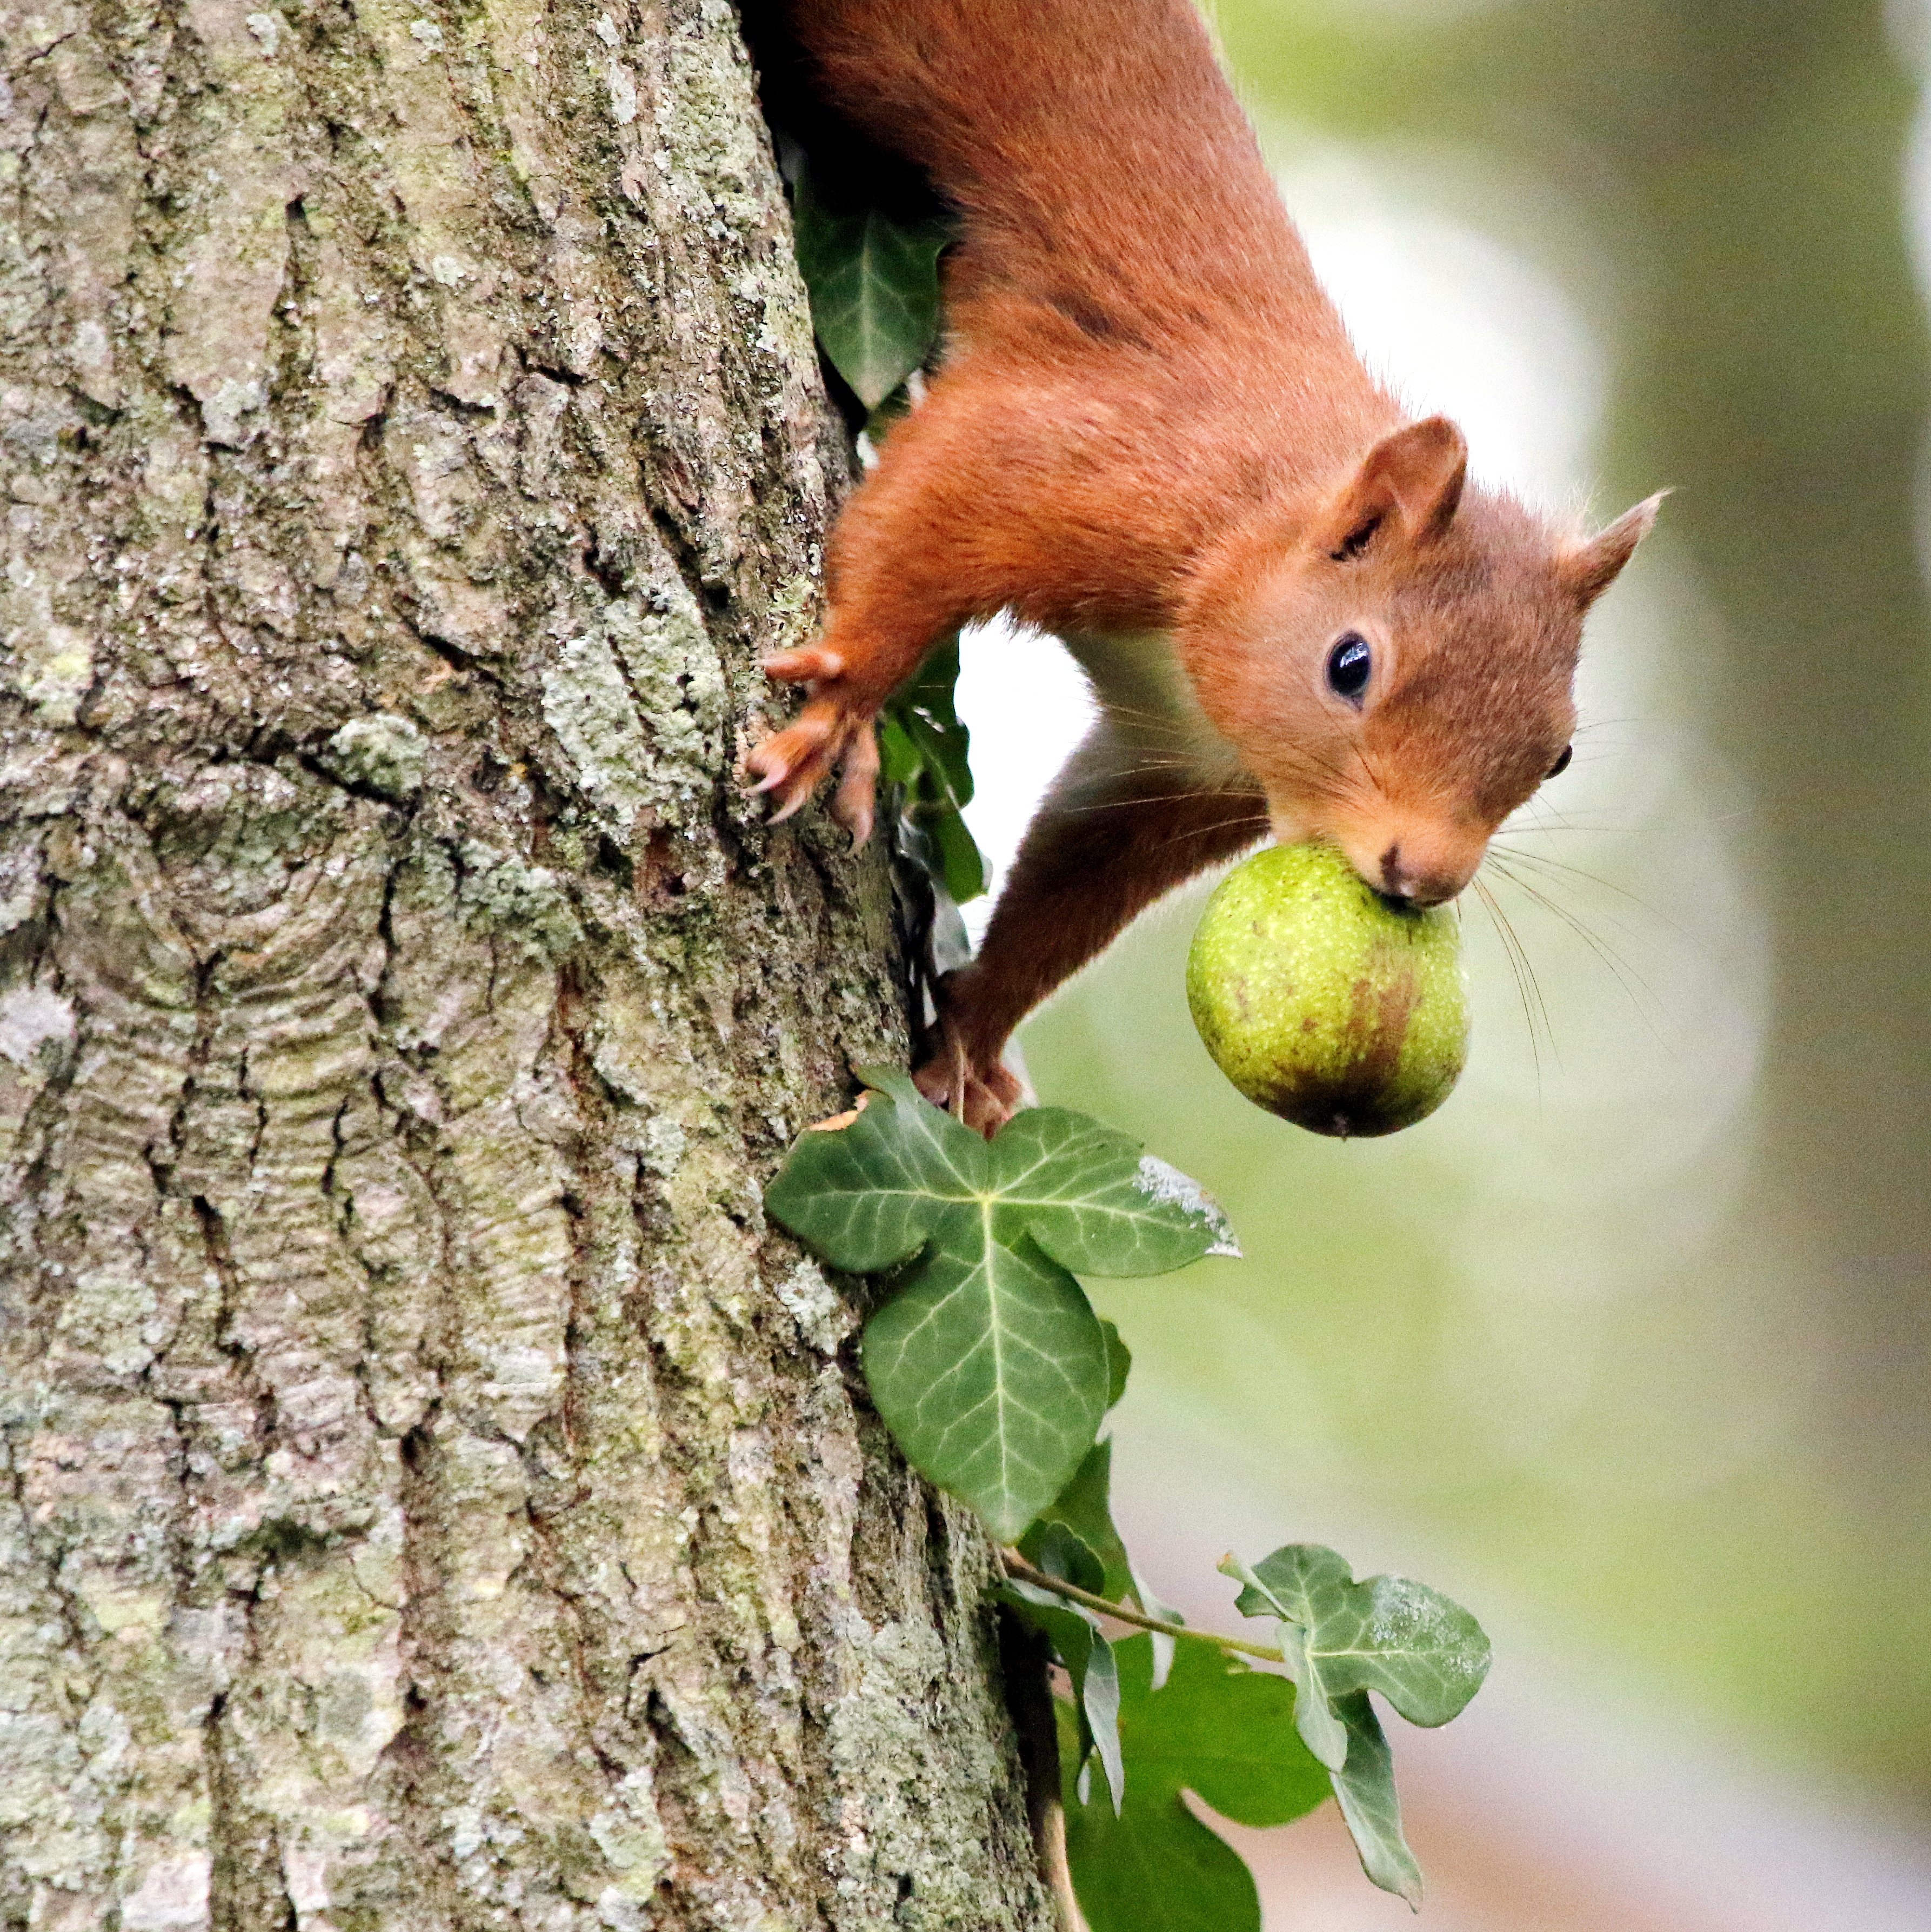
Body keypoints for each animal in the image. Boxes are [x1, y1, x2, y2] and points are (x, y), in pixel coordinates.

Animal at [746, 0, 1654, 1128]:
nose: (1420, 876)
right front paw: (846, 705)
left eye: (1559, 754)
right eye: (1350, 665)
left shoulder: (1181, 763)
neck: (1253, 526)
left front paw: (968, 1038)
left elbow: (1079, 870)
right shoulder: (1099, 462)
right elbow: (936, 505)